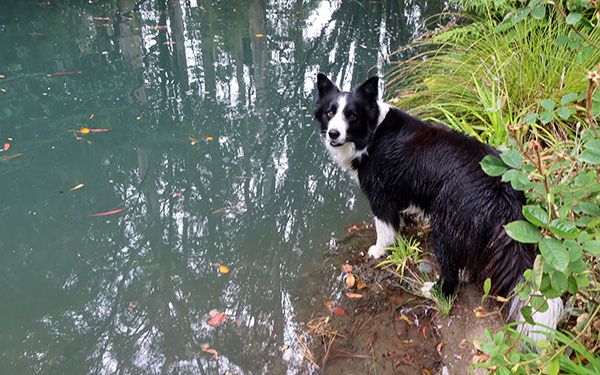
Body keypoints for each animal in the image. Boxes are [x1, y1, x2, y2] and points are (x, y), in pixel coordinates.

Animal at [314, 73, 564, 344]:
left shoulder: (380, 194)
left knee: (449, 271)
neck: (371, 135)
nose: (333, 133)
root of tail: (501, 188)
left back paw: (434, 290)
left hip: (445, 220)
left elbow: (384, 228)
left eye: (352, 116)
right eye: (330, 112)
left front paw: (379, 250)